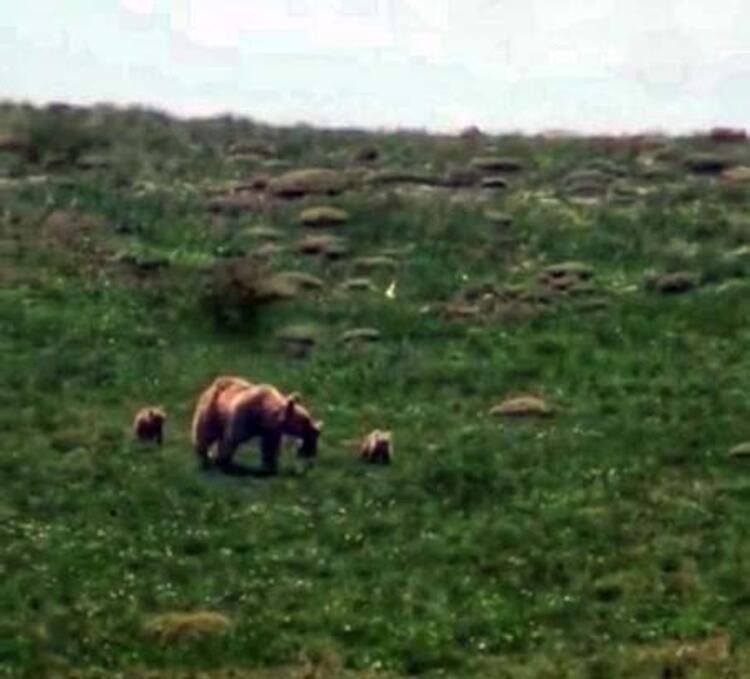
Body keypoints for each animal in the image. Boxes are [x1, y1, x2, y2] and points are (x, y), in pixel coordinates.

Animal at [189, 374, 322, 476]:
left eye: (308, 418)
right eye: (306, 421)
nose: (317, 430)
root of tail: (216, 382)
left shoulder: (270, 430)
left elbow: (270, 447)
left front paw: (271, 466)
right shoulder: (244, 416)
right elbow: (231, 439)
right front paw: (223, 462)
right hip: (212, 408)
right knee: (205, 432)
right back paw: (204, 457)